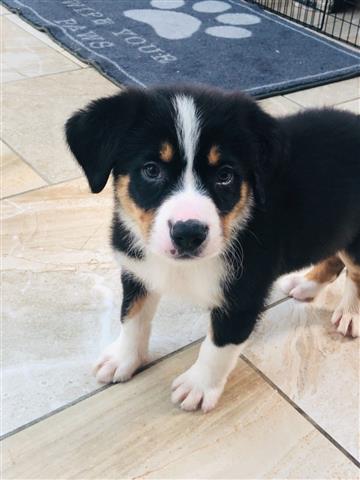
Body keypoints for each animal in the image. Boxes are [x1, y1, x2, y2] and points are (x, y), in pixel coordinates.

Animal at [64, 86, 360, 412]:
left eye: (225, 175)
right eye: (151, 170)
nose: (188, 233)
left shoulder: (244, 294)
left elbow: (219, 345)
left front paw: (198, 386)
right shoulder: (138, 270)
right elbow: (132, 317)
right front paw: (123, 359)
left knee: (354, 271)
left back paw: (350, 314)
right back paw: (305, 285)